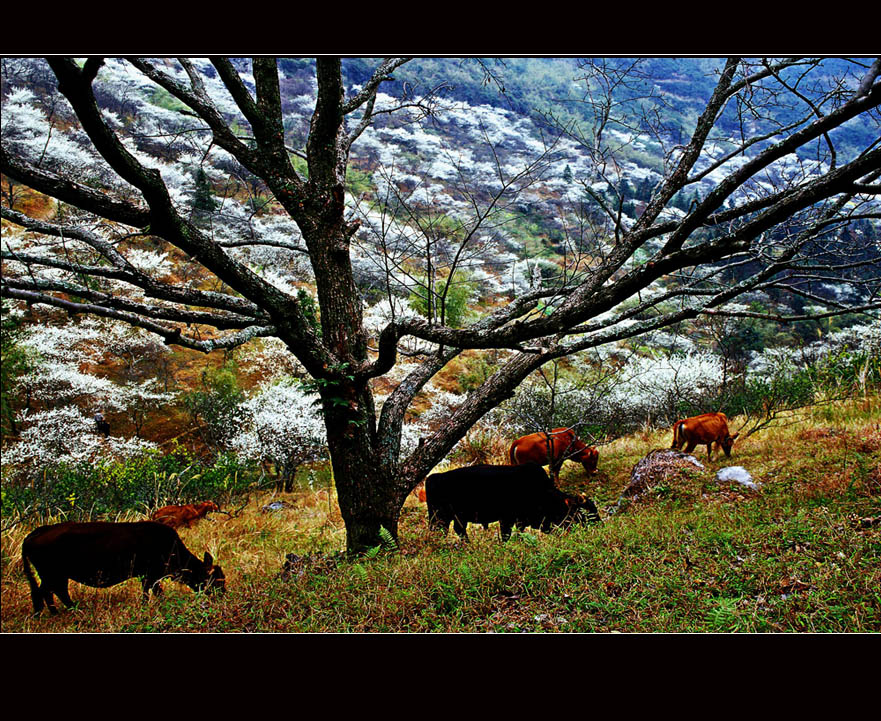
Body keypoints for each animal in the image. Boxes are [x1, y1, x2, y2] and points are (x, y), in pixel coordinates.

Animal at [20, 520, 225, 616]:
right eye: (214, 579)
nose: (222, 595)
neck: (170, 546)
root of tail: (37, 532)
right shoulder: (149, 576)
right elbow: (150, 593)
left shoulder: (148, 577)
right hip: (52, 575)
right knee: (46, 592)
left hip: (55, 576)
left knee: (52, 592)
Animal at [424, 462, 600, 540]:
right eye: (583, 512)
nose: (599, 524)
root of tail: (434, 477)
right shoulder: (507, 519)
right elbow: (506, 535)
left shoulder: (521, 520)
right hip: (441, 518)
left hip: (453, 518)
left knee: (457, 530)